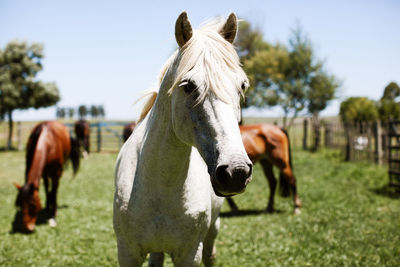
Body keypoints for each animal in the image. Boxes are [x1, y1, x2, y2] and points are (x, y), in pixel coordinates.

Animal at [112, 12, 252, 267]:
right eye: (188, 86)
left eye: (242, 85)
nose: (235, 172)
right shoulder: (127, 253)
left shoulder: (190, 254)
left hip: (212, 232)